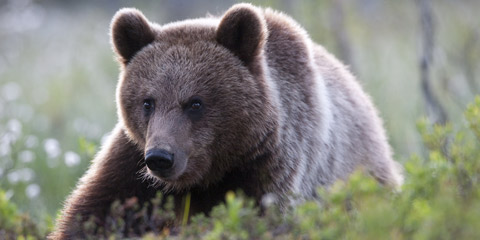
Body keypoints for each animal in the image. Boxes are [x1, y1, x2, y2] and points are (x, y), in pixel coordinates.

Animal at [49, 2, 402, 239]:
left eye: (195, 103)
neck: (207, 174)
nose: (161, 157)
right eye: (147, 102)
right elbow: (95, 213)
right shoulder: (132, 163)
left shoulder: (269, 168)